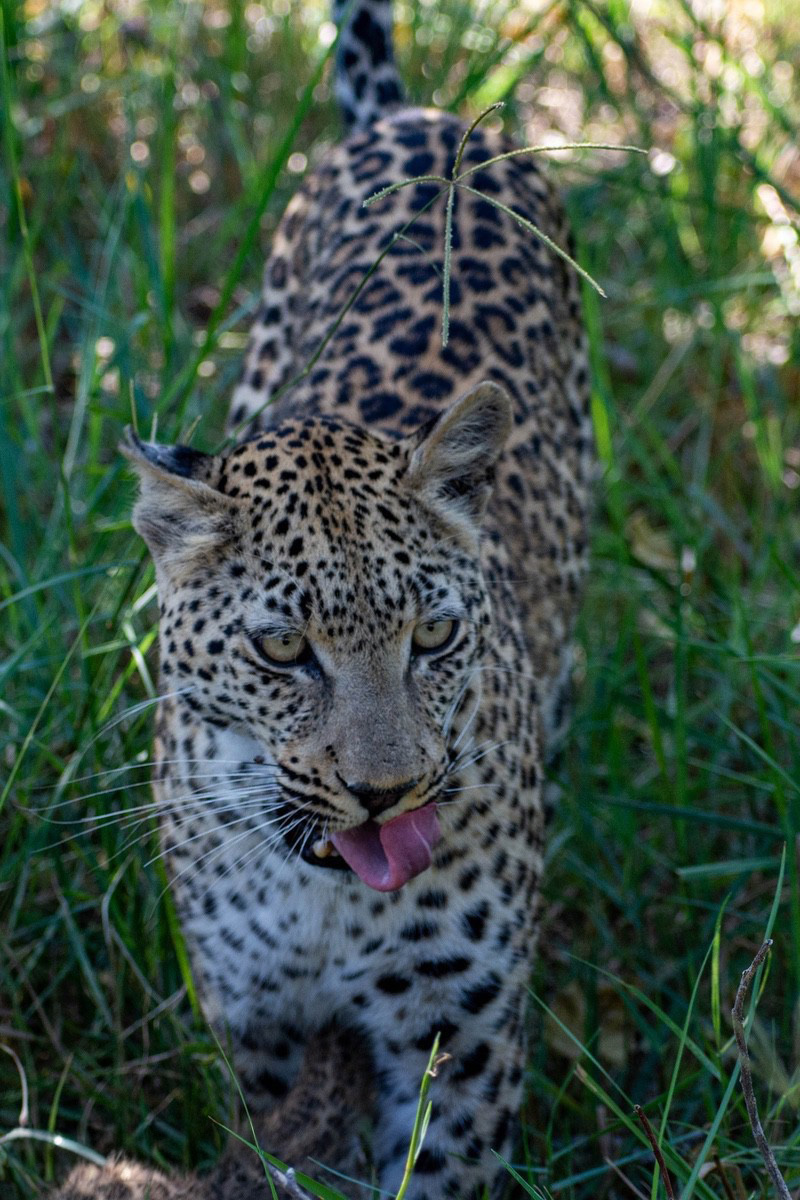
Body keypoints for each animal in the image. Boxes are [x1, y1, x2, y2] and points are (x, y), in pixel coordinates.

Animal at [57, 1, 594, 1196]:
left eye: (434, 636)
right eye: (280, 650)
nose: (385, 797)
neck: (328, 900)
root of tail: (415, 115)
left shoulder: (460, 1044)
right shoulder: (253, 1025)